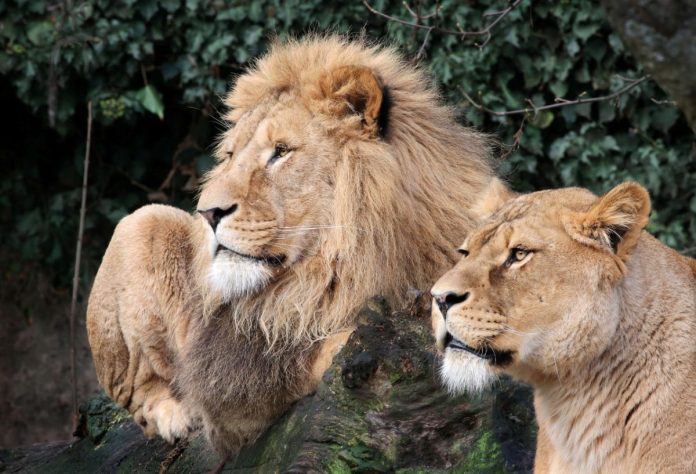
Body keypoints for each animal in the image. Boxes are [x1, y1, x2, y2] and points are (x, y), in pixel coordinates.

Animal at [86, 35, 500, 456]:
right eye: (230, 156)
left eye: (281, 151)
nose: (207, 212)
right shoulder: (246, 382)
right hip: (141, 222)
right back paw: (175, 417)